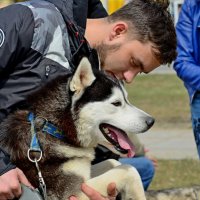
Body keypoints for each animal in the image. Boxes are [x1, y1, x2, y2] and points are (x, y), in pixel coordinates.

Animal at [0, 57, 155, 199]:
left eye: (127, 100)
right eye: (116, 103)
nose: (151, 121)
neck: (53, 128)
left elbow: (114, 162)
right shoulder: (74, 193)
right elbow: (129, 169)